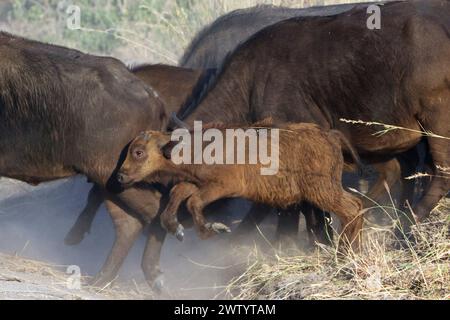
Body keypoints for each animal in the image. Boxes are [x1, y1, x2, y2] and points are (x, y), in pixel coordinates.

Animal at [117, 124, 366, 251]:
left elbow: (193, 202)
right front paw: (177, 230)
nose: (120, 175)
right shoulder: (196, 183)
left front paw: (213, 229)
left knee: (352, 208)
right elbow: (177, 197)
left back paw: (347, 252)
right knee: (355, 206)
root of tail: (329, 135)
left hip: (322, 190)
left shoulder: (221, 186)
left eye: (138, 152)